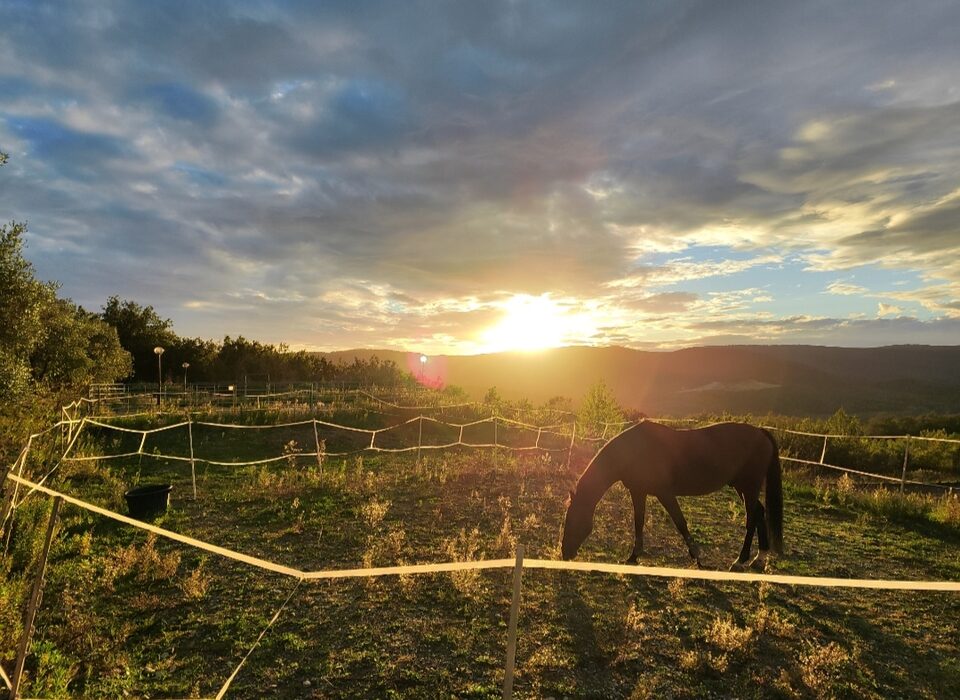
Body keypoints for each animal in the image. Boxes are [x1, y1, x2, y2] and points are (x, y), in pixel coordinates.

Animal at [561, 420, 783, 570]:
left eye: (571, 520)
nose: (565, 553)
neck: (634, 451)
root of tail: (761, 433)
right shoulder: (639, 492)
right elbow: (639, 522)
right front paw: (633, 556)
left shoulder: (665, 494)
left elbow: (680, 522)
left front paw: (697, 556)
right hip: (741, 487)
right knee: (759, 512)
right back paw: (759, 559)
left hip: (749, 486)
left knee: (752, 518)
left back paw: (740, 560)